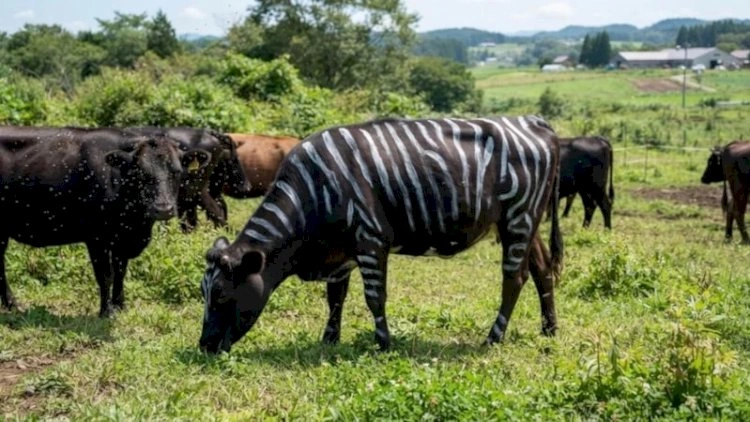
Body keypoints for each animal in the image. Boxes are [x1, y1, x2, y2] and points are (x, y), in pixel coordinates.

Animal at [198, 115, 563, 354]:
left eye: (221, 296)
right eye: (203, 294)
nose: (204, 347)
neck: (313, 193)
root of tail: (534, 120)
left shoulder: (370, 240)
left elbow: (374, 297)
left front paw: (383, 343)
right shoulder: (339, 250)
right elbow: (335, 298)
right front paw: (329, 340)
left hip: (519, 217)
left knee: (514, 279)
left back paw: (493, 337)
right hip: (523, 221)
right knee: (543, 270)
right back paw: (549, 329)